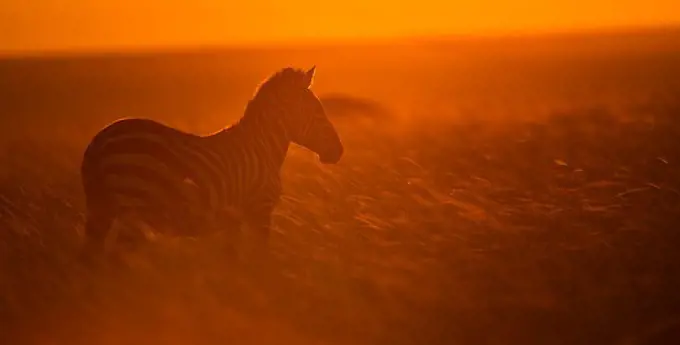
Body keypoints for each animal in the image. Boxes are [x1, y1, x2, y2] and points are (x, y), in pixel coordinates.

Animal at [79, 66, 342, 262]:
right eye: (318, 112)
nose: (339, 151)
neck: (262, 148)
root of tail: (99, 140)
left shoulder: (234, 219)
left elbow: (231, 261)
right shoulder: (260, 209)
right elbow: (260, 260)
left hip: (104, 208)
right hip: (131, 207)